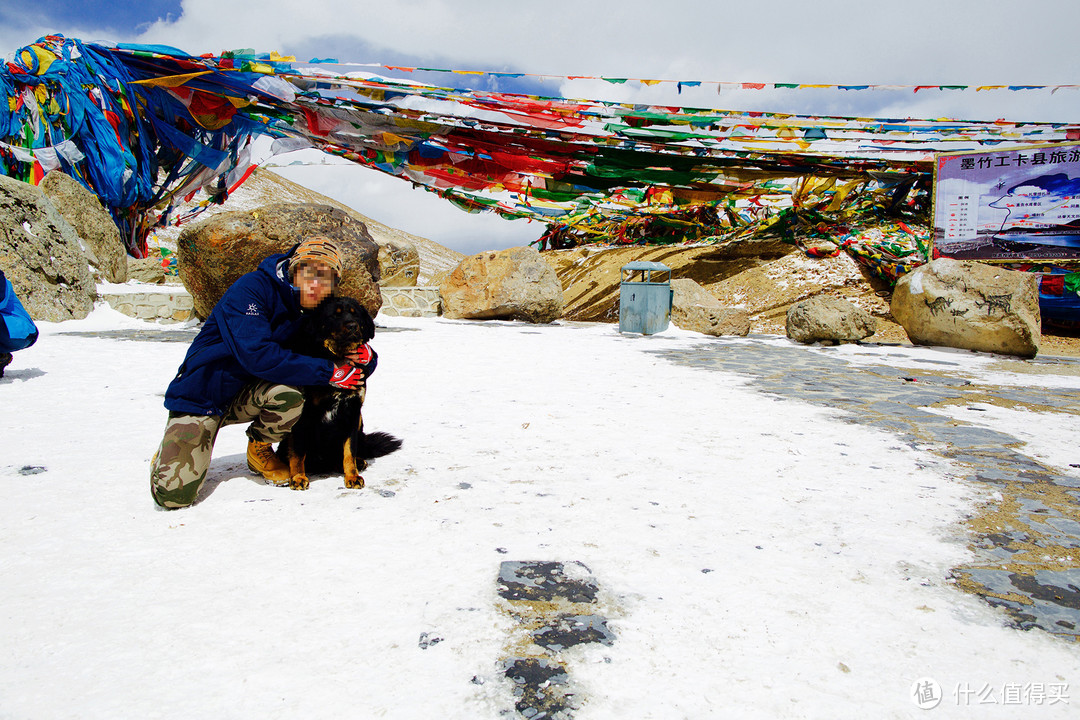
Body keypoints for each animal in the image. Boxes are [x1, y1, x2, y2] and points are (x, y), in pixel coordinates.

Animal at [276, 293, 403, 490]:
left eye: (355, 313)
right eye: (335, 315)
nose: (352, 326)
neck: (338, 357)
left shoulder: (352, 411)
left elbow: (349, 450)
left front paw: (352, 476)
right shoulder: (304, 414)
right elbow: (297, 451)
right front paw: (297, 477)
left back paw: (358, 462)